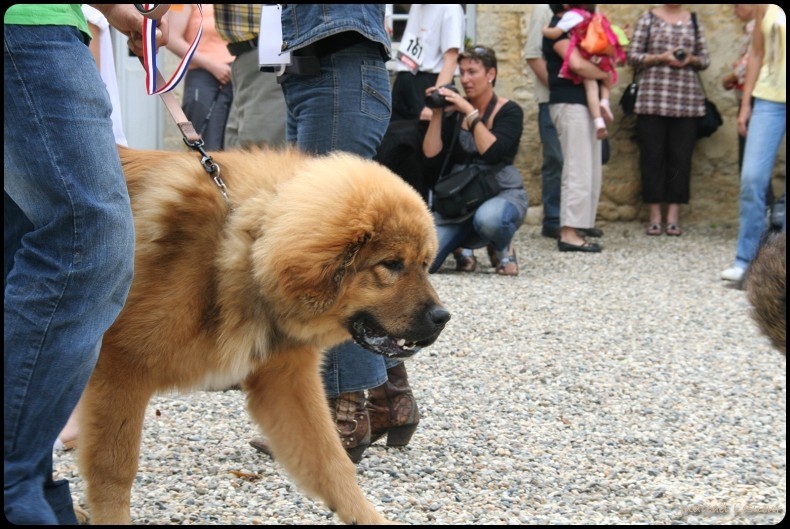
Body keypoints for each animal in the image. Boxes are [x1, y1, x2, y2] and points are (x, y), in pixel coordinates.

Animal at [81, 146, 454, 520]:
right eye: (391, 265)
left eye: (424, 264)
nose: (443, 317)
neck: (243, 243)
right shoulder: (120, 374)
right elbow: (114, 468)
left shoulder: (286, 381)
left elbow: (331, 461)